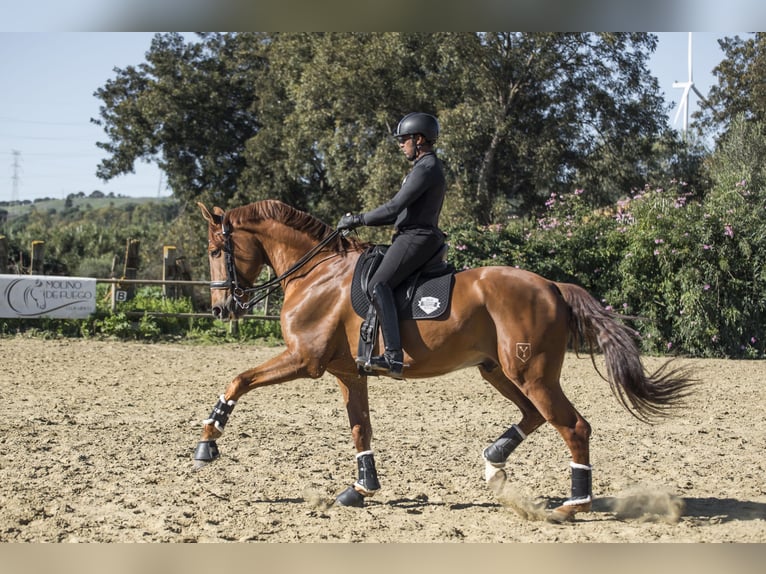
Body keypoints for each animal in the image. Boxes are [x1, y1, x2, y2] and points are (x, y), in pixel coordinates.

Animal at [193, 199, 694, 522]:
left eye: (217, 250)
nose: (221, 309)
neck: (317, 274)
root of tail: (552, 285)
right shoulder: (346, 373)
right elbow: (360, 429)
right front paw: (361, 488)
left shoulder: (303, 360)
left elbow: (237, 380)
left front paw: (207, 443)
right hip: (499, 371)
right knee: (533, 416)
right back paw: (494, 462)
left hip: (531, 374)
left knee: (573, 426)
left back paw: (573, 505)